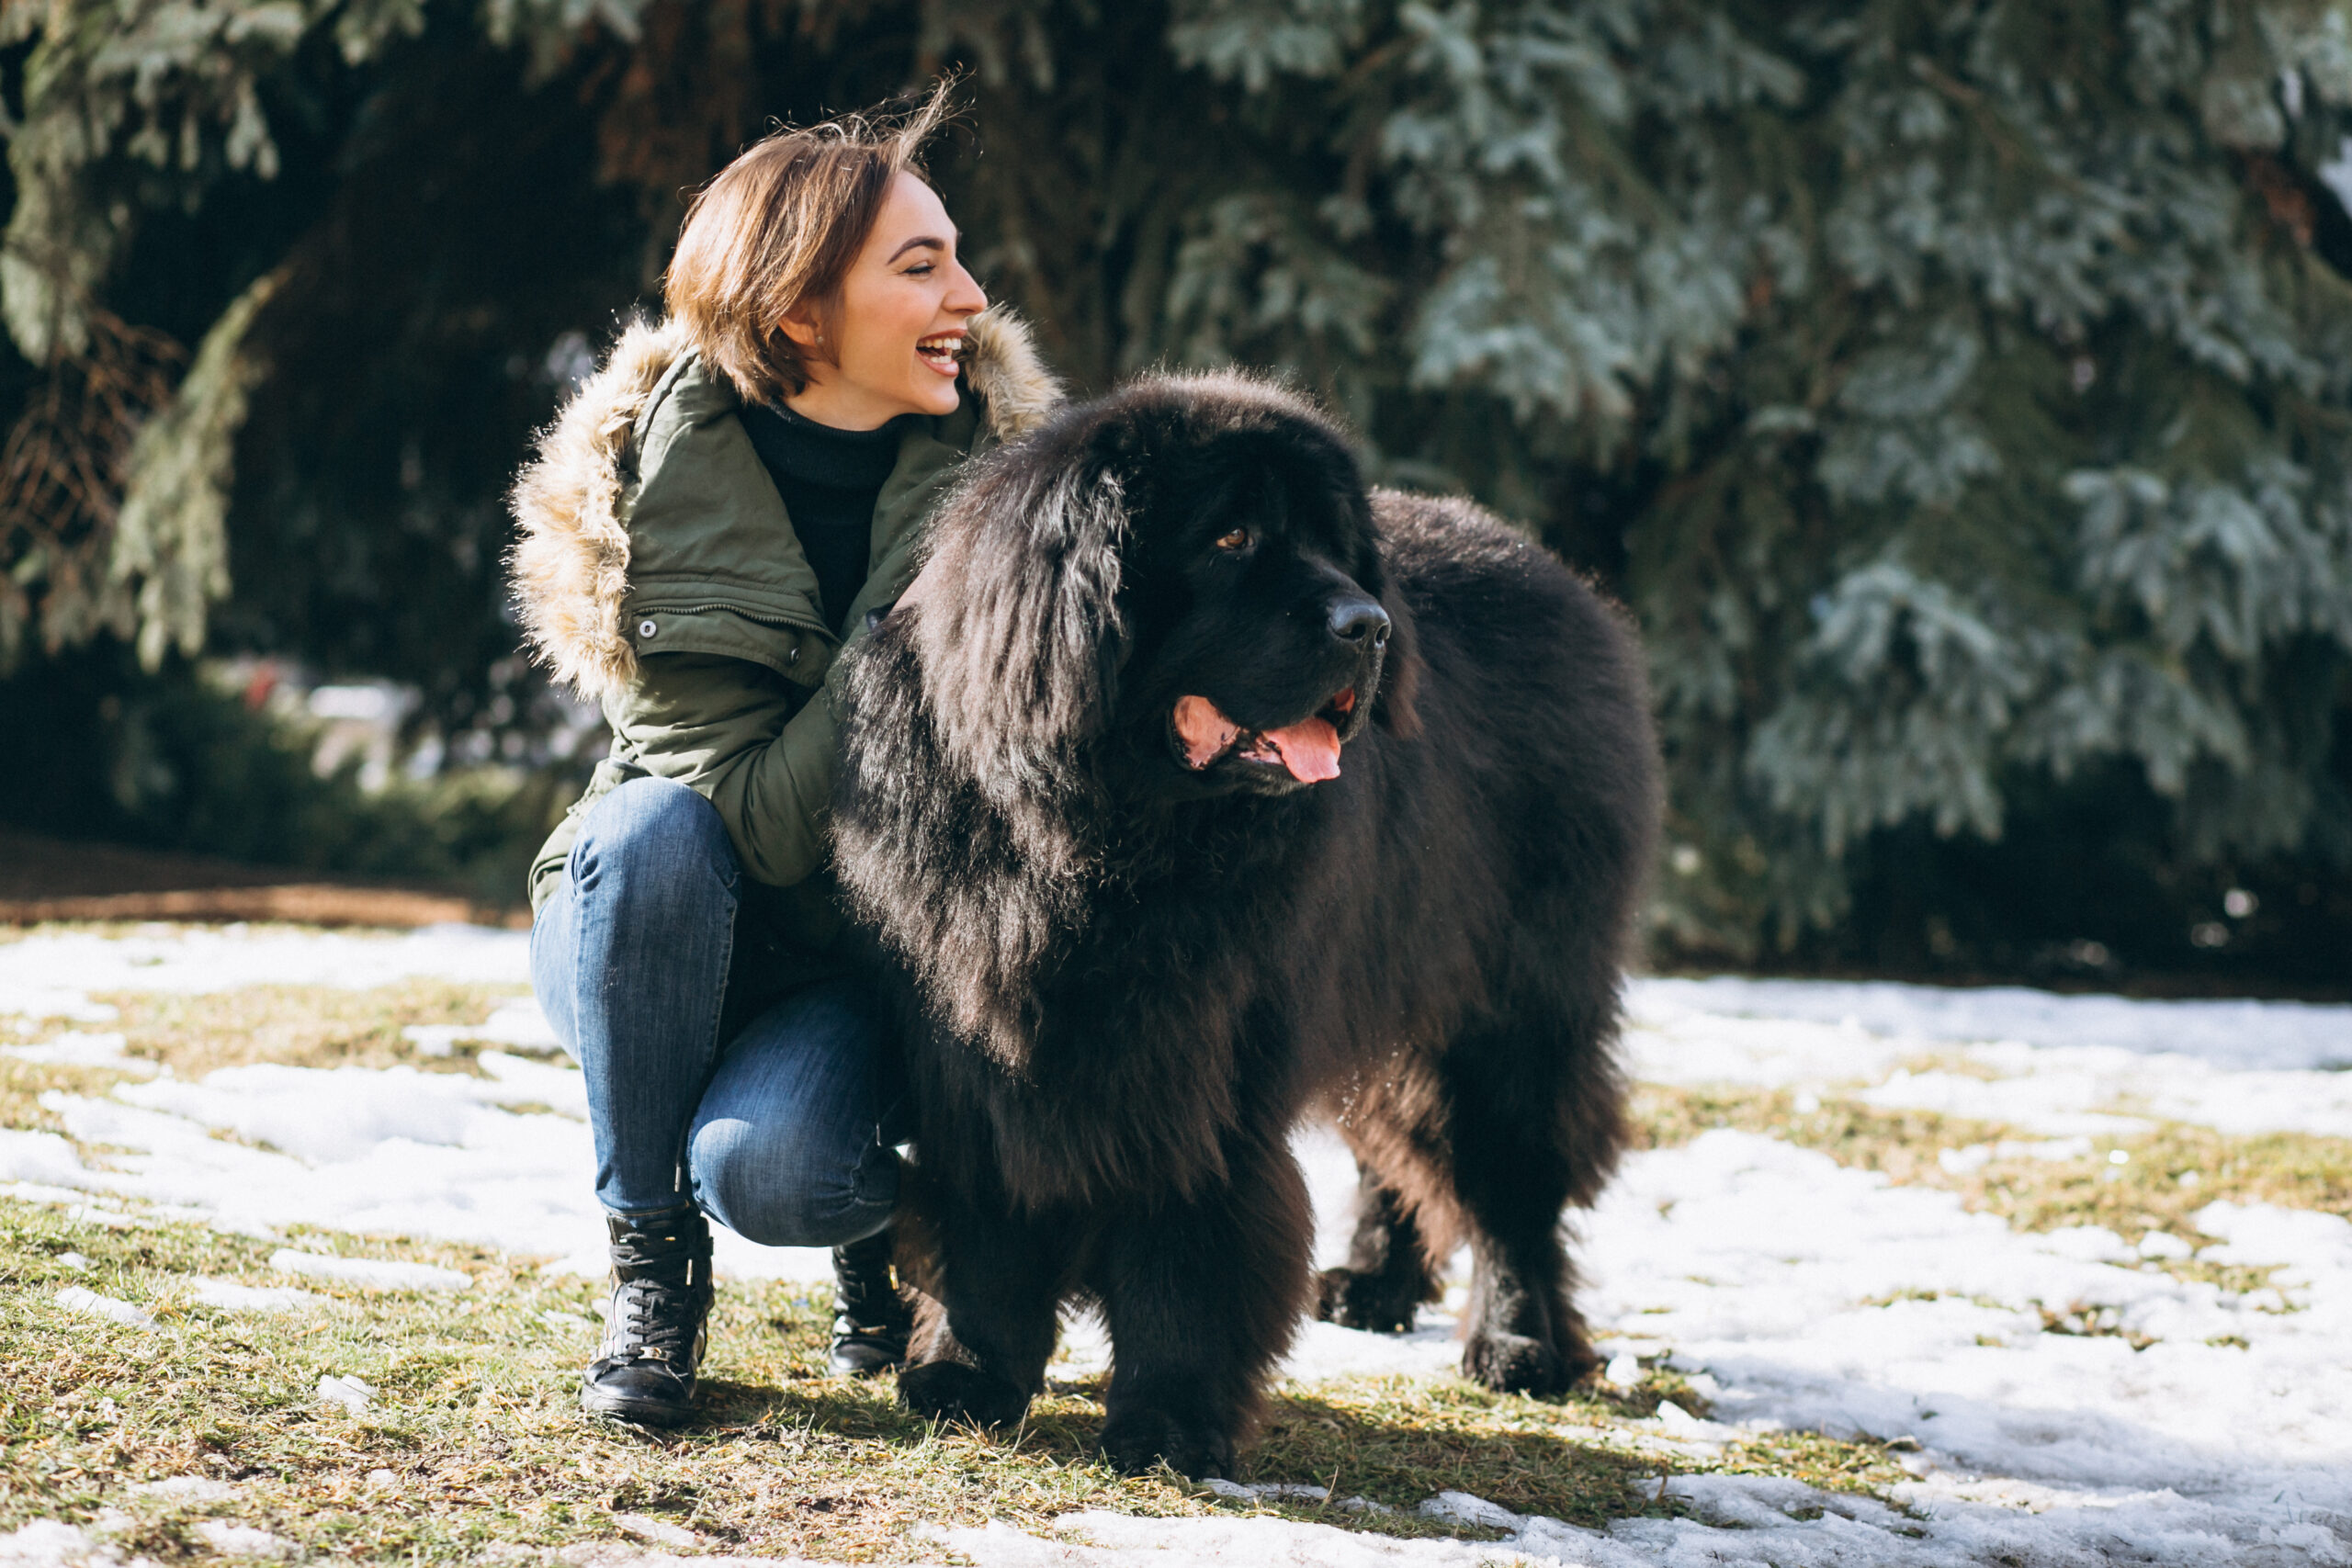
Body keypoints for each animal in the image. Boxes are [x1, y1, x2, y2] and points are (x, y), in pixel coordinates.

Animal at [837, 373, 1665, 1476]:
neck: (1107, 839)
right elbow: (993, 1220)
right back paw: (1375, 1284)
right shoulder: (980, 1041)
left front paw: (1171, 1419)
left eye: (1334, 545)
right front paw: (966, 1376)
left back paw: (1518, 1341)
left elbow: (1191, 1247)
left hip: (1514, 999)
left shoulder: (1213, 1061)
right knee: (1400, 1134)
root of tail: (1561, 578)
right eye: (1230, 538)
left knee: (1508, 1173)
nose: (1370, 625)